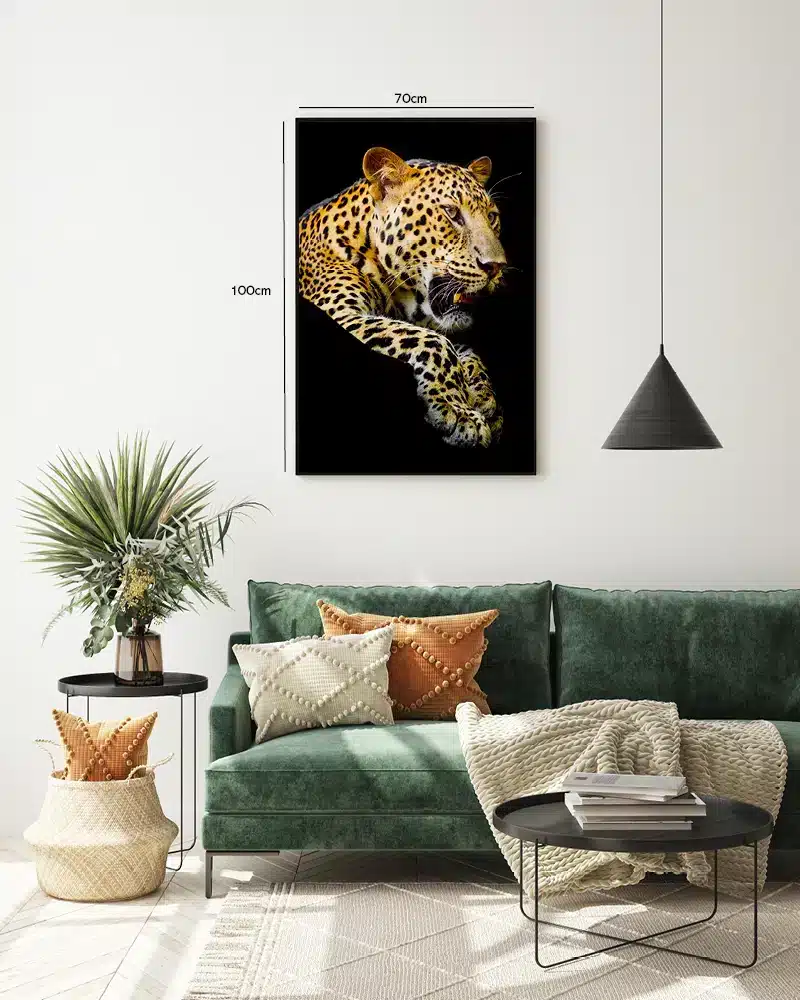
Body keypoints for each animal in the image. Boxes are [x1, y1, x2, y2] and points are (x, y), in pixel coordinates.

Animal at [298, 146, 508, 447]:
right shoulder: (340, 312)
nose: (496, 267)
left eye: (492, 217)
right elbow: (435, 342)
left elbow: (465, 351)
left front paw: (484, 398)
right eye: (451, 212)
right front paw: (459, 412)